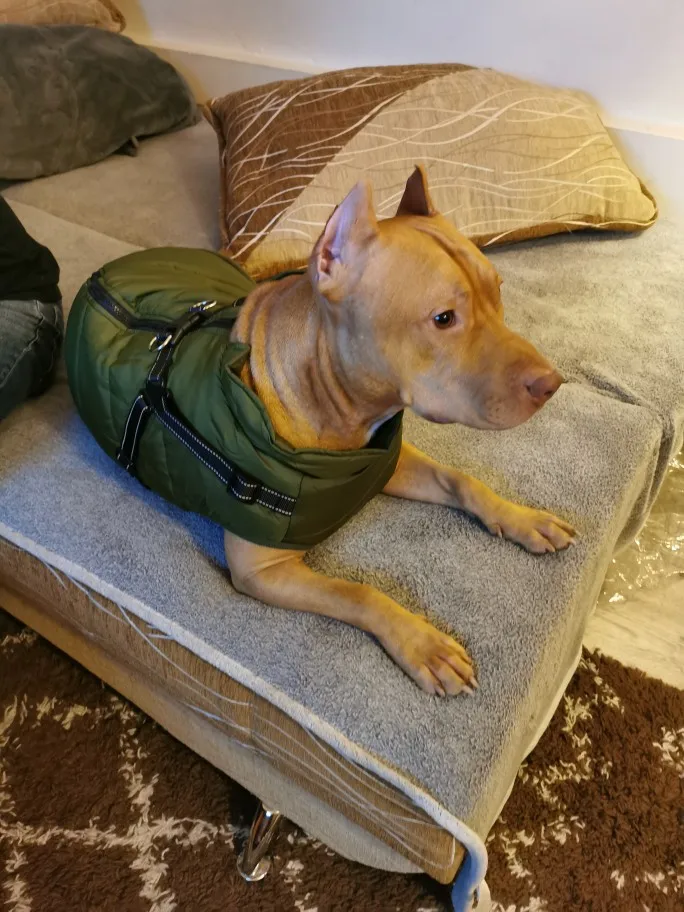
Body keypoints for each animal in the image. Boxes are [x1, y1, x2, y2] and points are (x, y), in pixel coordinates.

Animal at [226, 166, 575, 697]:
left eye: (498, 291)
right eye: (443, 318)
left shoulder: (388, 465)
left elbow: (462, 480)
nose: (552, 384)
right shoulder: (260, 569)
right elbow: (357, 593)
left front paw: (521, 517)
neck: (337, 400)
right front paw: (423, 644)